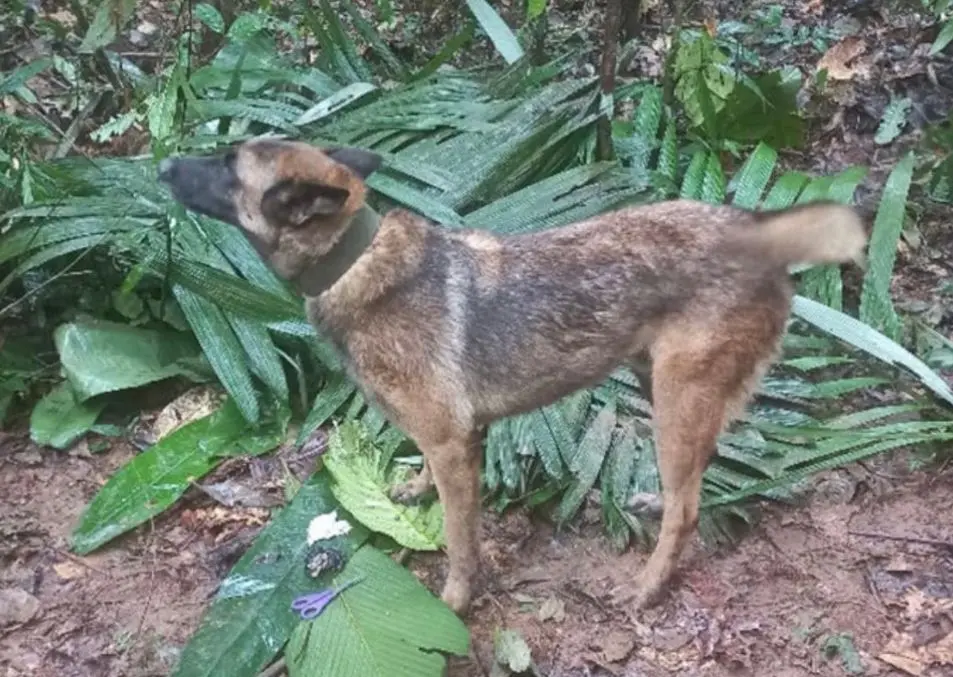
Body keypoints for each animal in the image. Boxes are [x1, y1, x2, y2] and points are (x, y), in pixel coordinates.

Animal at [158, 136, 872, 612]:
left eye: (227, 166)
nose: (161, 164)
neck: (355, 261)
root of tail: (758, 231)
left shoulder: (454, 444)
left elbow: (458, 538)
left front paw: (455, 598)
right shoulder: (446, 441)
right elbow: (430, 484)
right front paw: (415, 490)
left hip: (677, 396)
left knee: (690, 508)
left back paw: (648, 584)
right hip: (660, 386)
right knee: (697, 474)